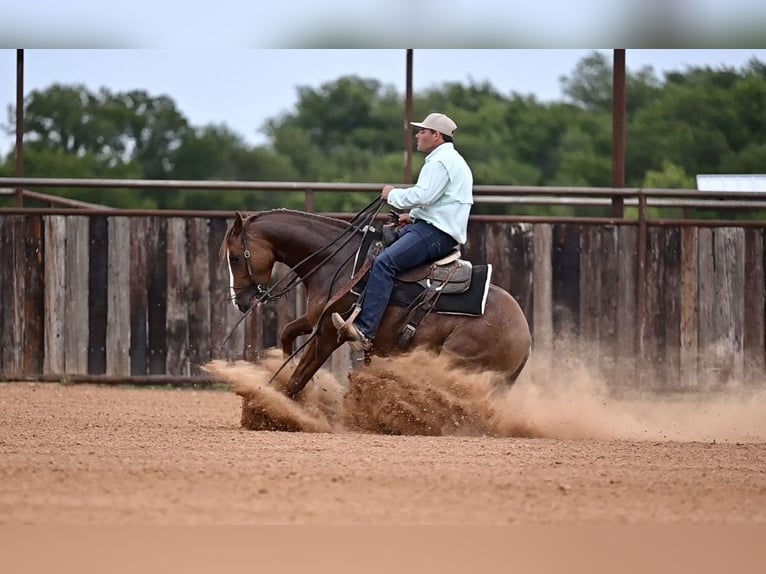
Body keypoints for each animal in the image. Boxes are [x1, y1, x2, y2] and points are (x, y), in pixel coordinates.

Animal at [221, 208, 531, 399]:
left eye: (235, 257)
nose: (242, 302)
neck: (339, 261)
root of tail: (525, 335)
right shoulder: (316, 319)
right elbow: (288, 334)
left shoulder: (330, 332)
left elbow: (301, 375)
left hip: (457, 360)